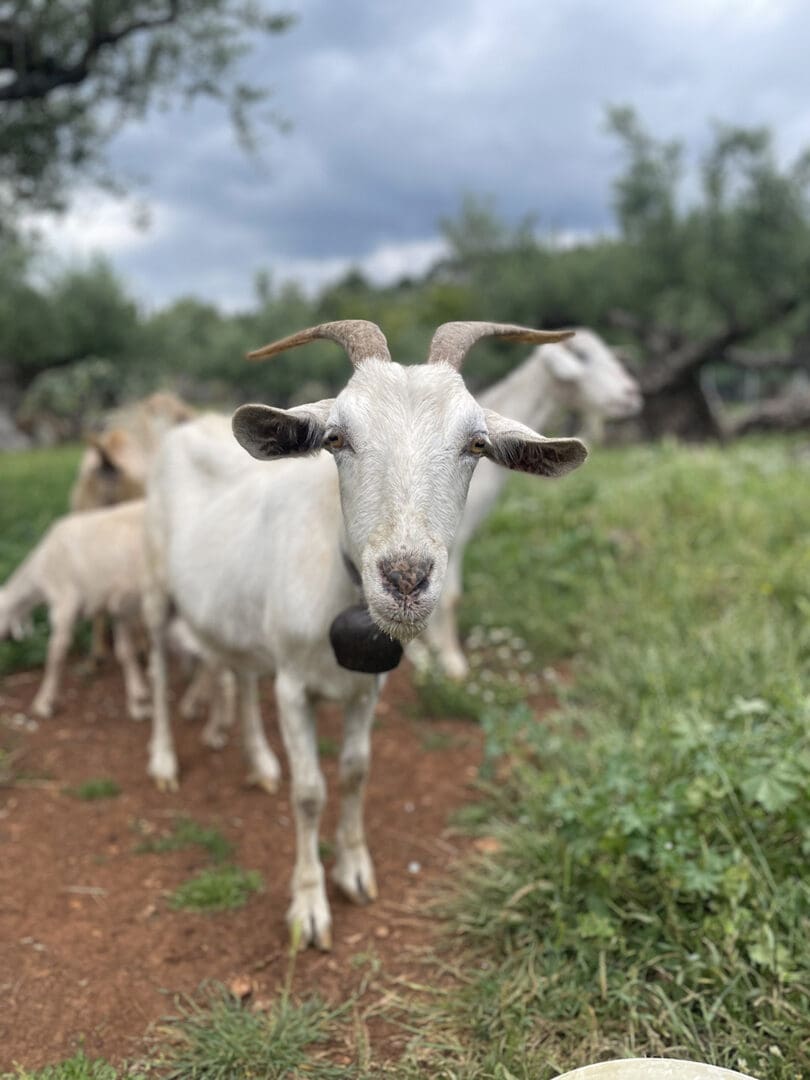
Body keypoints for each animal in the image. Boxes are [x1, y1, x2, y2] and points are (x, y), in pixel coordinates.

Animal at [143, 319, 588, 950]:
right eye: (336, 438)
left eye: (476, 444)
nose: (404, 578)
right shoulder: (293, 685)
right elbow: (309, 792)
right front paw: (308, 909)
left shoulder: (368, 687)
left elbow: (355, 771)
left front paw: (353, 870)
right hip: (156, 584)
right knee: (158, 664)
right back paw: (163, 762)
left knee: (240, 670)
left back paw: (259, 763)